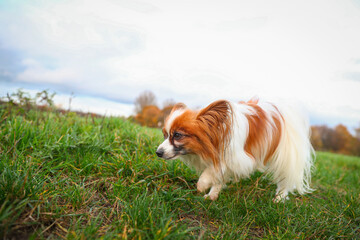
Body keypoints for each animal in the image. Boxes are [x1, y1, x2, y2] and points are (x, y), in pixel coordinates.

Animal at [156, 97, 314, 201]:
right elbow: (218, 176)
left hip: (285, 157)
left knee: (285, 178)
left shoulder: (239, 158)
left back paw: (280, 197)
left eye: (177, 135)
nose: (158, 152)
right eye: (165, 135)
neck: (219, 134)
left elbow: (212, 171)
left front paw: (202, 184)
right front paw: (212, 195)